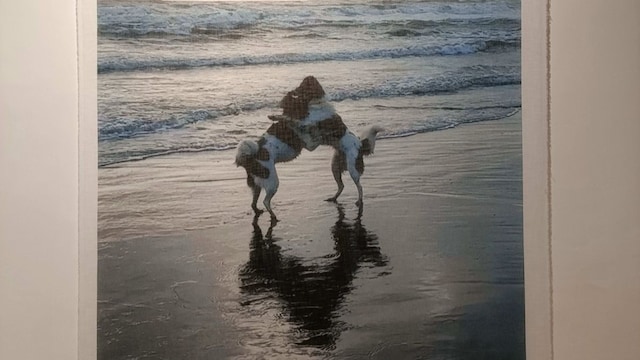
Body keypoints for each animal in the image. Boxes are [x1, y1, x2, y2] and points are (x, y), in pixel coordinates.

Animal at [236, 75, 382, 221]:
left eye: (302, 85)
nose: (293, 90)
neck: (315, 105)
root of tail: (360, 144)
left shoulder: (307, 127)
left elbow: (294, 122)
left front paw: (277, 117)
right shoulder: (307, 132)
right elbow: (293, 122)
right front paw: (275, 116)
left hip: (352, 169)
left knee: (359, 187)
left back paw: (359, 200)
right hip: (334, 167)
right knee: (341, 186)